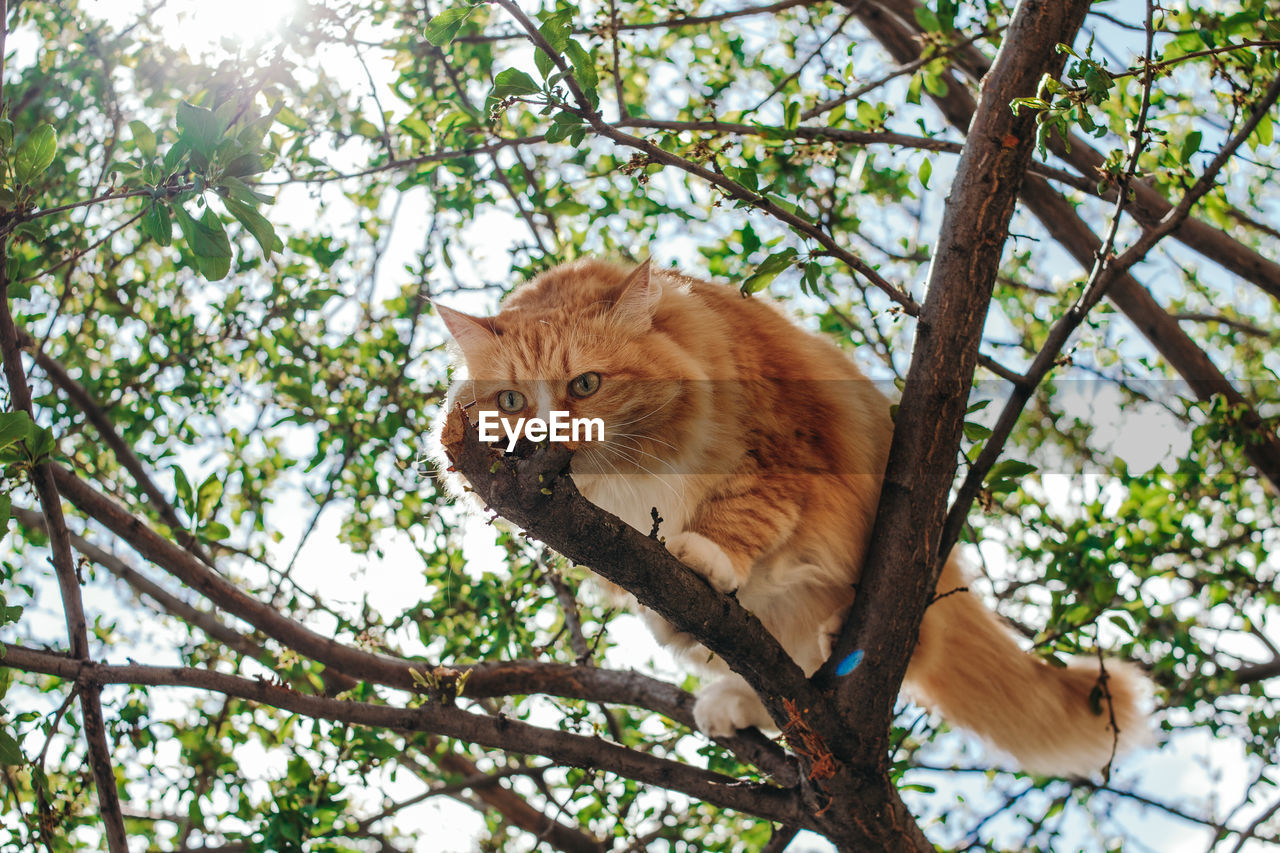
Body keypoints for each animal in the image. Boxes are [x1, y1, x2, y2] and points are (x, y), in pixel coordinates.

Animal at [432, 256, 1152, 773]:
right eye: (511, 400)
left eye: (585, 385)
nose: (540, 439)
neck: (627, 484)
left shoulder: (785, 445)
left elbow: (745, 511)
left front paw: (703, 552)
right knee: (785, 680)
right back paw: (733, 697)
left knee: (903, 643)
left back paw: (844, 635)